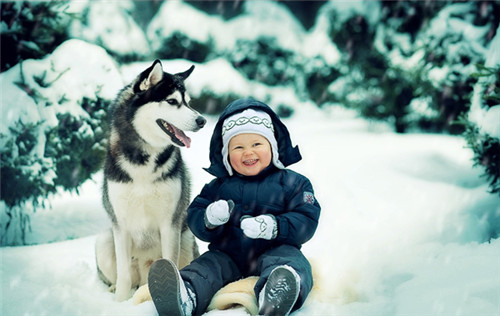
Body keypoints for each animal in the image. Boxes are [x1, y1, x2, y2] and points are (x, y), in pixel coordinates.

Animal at [95, 59, 205, 302]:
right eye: (172, 101)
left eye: (188, 102)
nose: (202, 120)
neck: (143, 161)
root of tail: (146, 273)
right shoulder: (121, 225)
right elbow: (124, 275)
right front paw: (120, 302)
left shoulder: (170, 223)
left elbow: (170, 261)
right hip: (105, 241)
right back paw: (114, 289)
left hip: (185, 237)